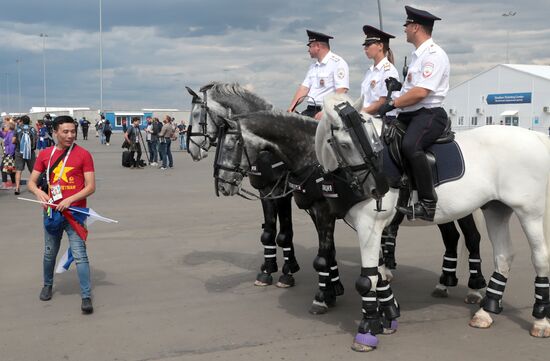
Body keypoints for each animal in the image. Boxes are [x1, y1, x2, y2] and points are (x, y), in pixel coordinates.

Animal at [316, 92, 548, 348]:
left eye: (373, 138)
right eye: (345, 145)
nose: (379, 188)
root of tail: (536, 137)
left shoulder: (370, 225)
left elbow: (368, 279)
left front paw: (367, 330)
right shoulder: (366, 228)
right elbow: (379, 273)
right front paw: (388, 315)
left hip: (529, 212)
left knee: (539, 257)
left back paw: (540, 320)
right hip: (496, 209)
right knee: (504, 256)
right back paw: (486, 311)